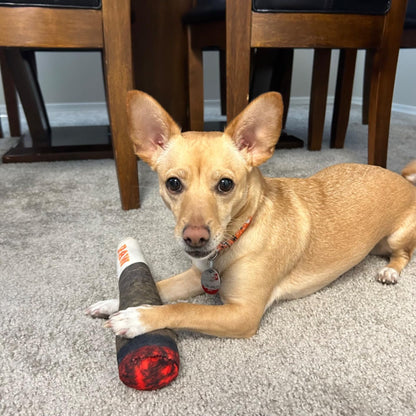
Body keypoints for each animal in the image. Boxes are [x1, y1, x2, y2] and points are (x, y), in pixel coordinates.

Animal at [87, 90, 416, 338]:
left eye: (225, 184)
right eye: (173, 184)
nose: (194, 238)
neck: (240, 234)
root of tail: (404, 180)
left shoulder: (242, 314)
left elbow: (184, 308)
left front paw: (137, 319)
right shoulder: (196, 276)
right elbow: (159, 286)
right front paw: (115, 302)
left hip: (397, 237)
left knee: (403, 255)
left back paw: (390, 271)